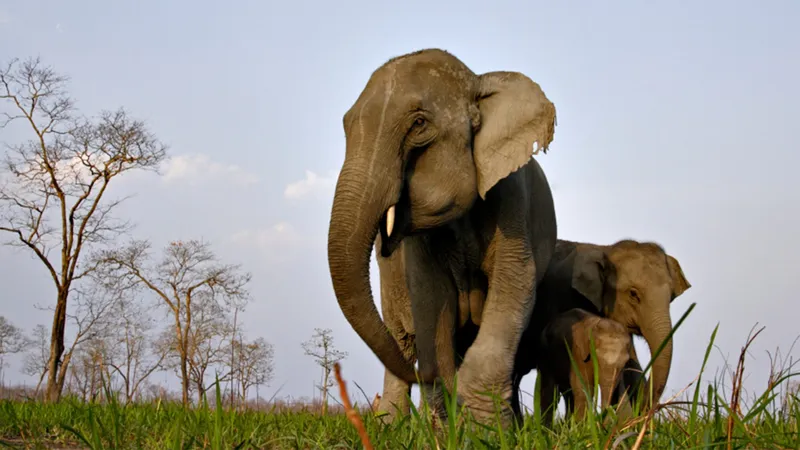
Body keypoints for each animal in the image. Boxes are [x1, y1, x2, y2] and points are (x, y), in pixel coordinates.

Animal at [324, 49, 556, 426]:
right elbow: (431, 297)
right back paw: (393, 424)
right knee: (402, 338)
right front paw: (450, 424)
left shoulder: (511, 197)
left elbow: (514, 283)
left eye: (418, 124)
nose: (424, 375)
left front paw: (484, 428)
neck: (478, 82)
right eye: (345, 126)